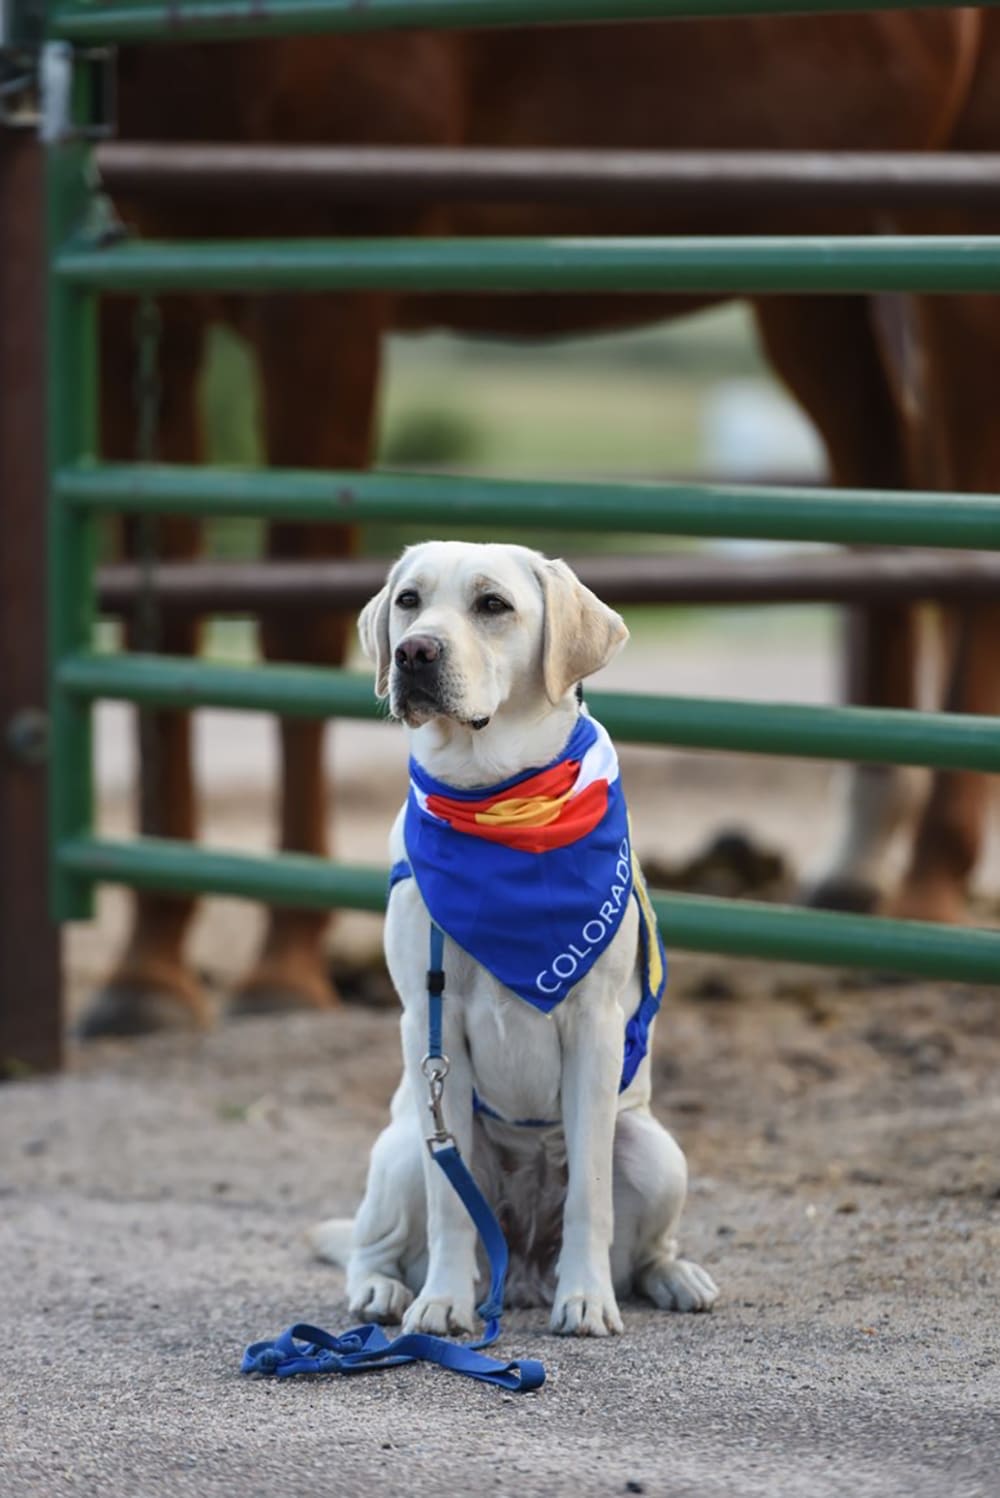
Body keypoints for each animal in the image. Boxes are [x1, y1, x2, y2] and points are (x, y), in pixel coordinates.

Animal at [87, 11, 999, 1036]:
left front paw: (283, 963)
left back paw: (930, 882)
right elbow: (162, 626)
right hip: (820, 263)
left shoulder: (322, 282)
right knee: (886, 497)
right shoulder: (133, 294)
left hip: (952, 231)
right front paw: (147, 969)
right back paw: (857, 863)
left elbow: (291, 617)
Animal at [314, 545, 718, 1342]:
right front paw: (442, 1301)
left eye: (493, 605)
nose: (413, 652)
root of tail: (523, 1272)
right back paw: (385, 1289)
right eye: (408, 601)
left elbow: (591, 1191)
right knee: (377, 1243)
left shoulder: (595, 1026)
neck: (495, 797)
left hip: (655, 1151)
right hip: (404, 1146)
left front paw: (587, 1298)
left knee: (646, 1249)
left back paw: (671, 1277)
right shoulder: (430, 1024)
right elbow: (450, 1203)